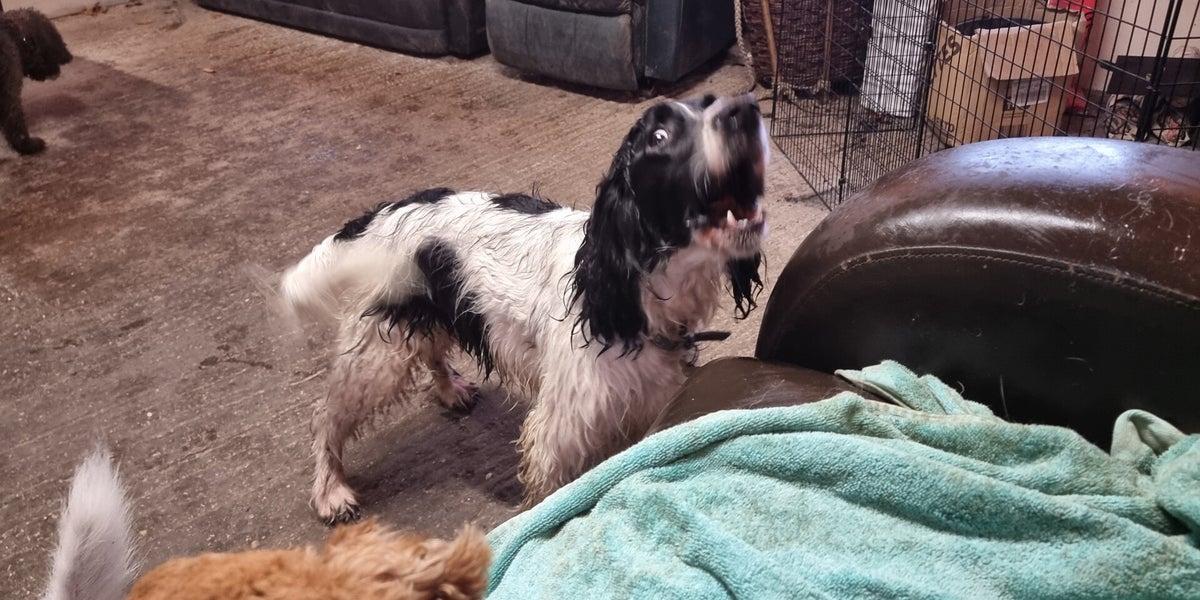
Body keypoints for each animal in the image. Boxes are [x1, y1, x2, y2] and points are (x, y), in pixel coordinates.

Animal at [279, 93, 770, 522]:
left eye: (710, 102)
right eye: (660, 136)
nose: (746, 110)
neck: (630, 297)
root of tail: (380, 213)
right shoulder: (558, 434)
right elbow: (551, 495)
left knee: (432, 352)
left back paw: (450, 390)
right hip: (377, 355)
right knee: (325, 418)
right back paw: (330, 490)